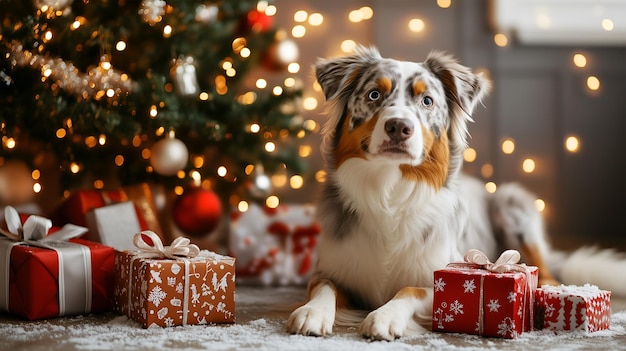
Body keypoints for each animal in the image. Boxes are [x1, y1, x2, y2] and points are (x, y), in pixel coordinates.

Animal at [286, 46, 624, 340]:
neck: (390, 192)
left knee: (547, 270)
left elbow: (408, 289)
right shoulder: (331, 270)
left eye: (427, 101)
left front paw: (384, 316)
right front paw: (311, 313)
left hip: (511, 201)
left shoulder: (438, 274)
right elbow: (323, 288)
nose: (399, 127)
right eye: (374, 94)